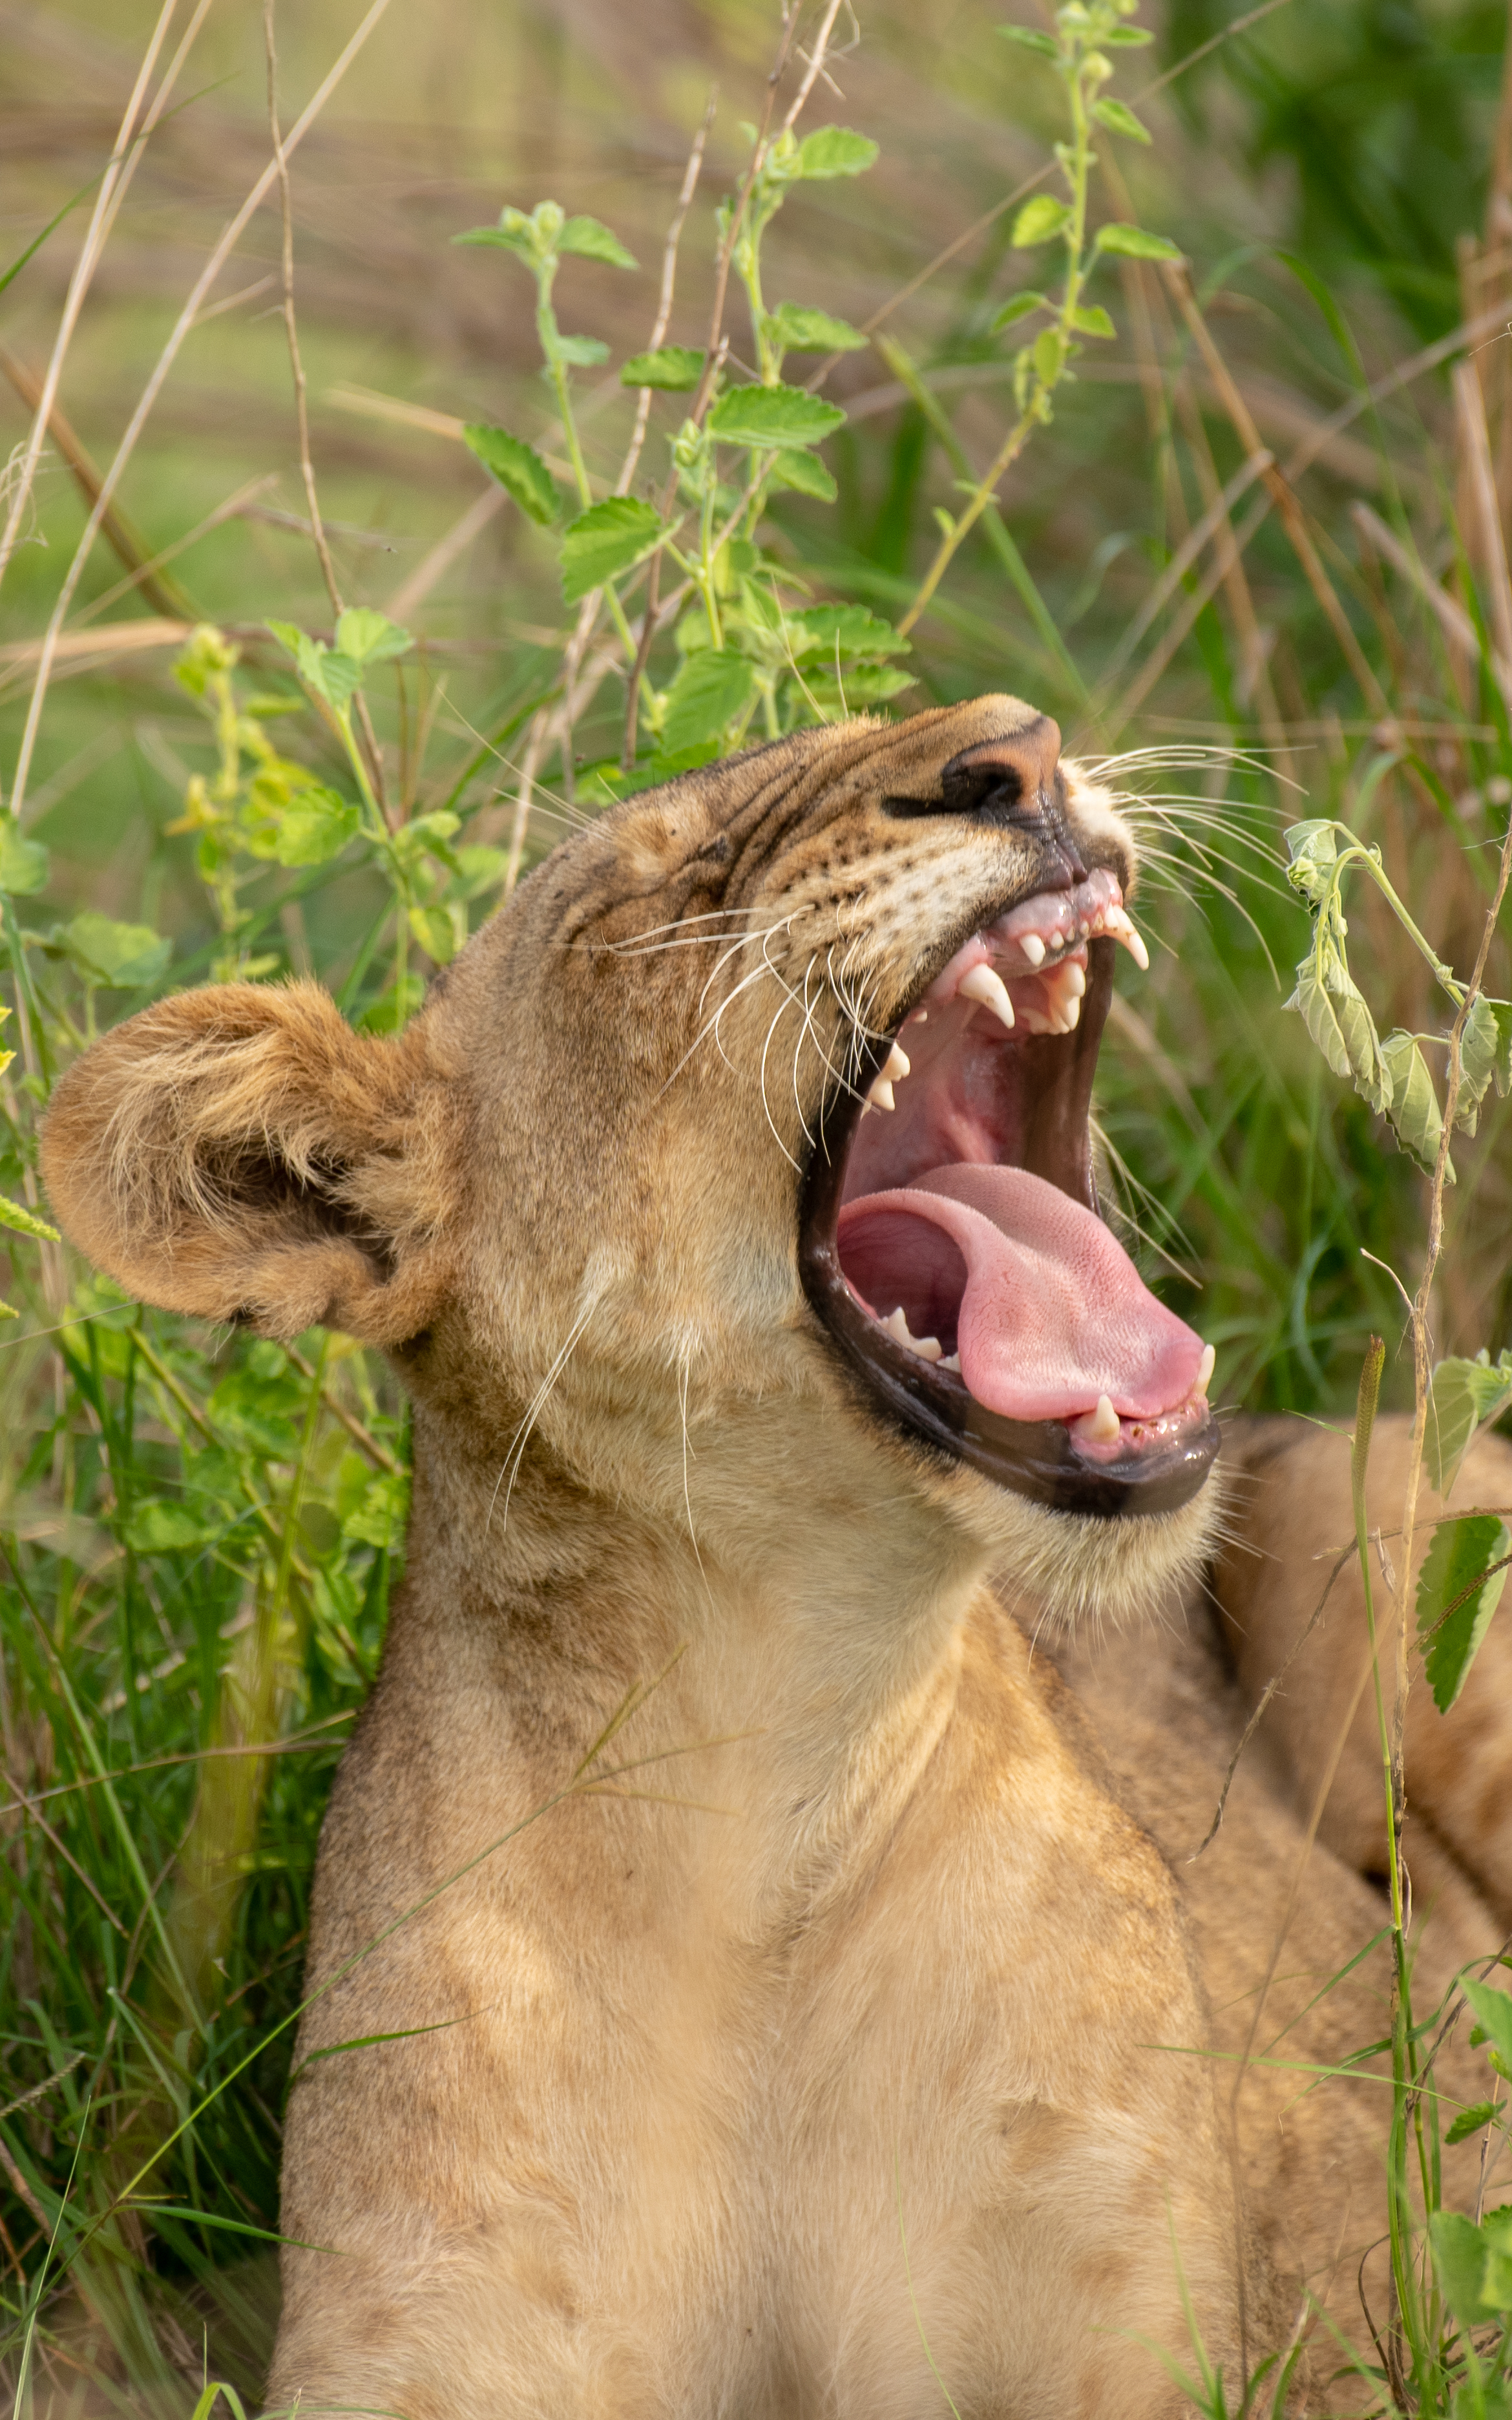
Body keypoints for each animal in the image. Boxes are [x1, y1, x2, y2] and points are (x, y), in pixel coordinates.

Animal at [41, 701, 1509, 2420]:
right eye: (643, 902)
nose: (1017, 751)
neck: (776, 1772)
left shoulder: (1133, 2337)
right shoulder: (419, 2338)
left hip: (1367, 1502)